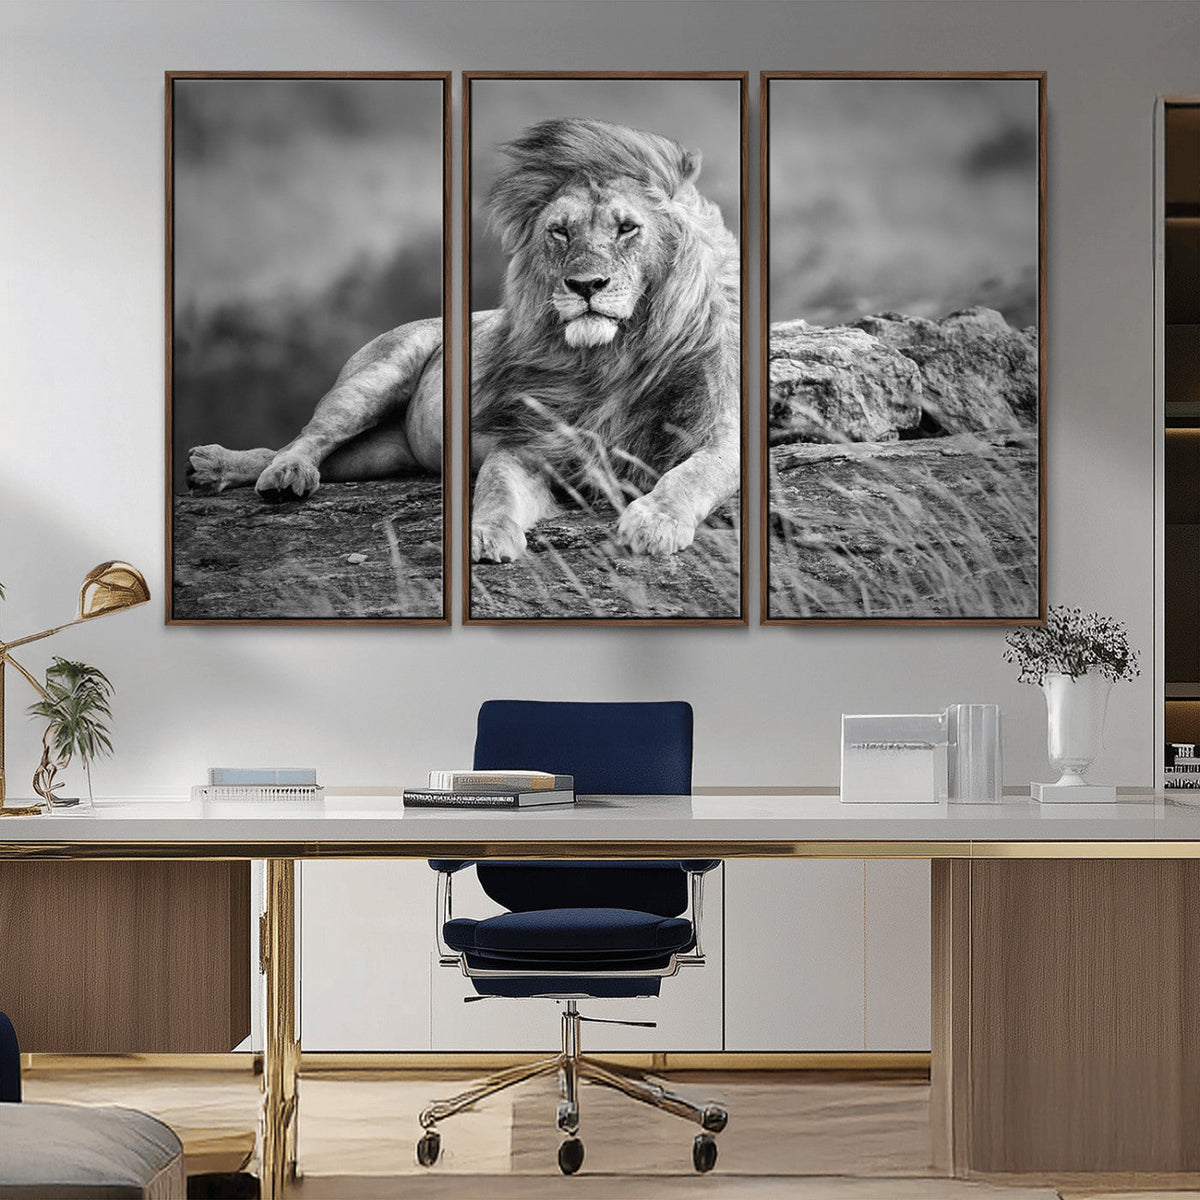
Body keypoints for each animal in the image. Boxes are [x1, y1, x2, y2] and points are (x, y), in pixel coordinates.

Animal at [187, 118, 741, 562]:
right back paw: (272, 473)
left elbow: (693, 473)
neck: (613, 358)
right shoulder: (528, 443)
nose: (584, 285)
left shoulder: (721, 433)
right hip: (373, 378)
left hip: (385, 453)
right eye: (560, 232)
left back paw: (218, 468)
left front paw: (653, 521)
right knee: (306, 437)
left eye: (628, 228)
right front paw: (482, 535)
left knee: (310, 452)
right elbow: (494, 488)